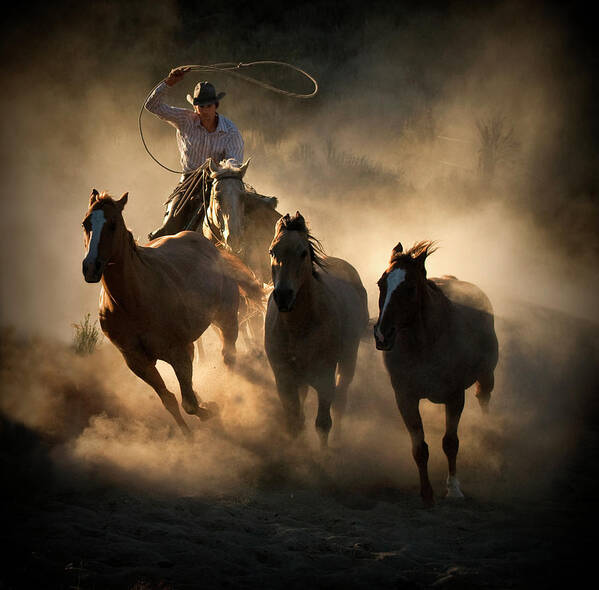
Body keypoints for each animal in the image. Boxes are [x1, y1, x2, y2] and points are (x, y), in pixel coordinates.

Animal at [81, 192, 264, 438]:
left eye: (113, 224)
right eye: (86, 223)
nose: (91, 266)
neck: (133, 300)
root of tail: (211, 248)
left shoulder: (178, 352)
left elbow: (189, 404)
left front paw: (212, 409)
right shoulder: (137, 361)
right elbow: (169, 400)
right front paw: (188, 435)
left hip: (226, 319)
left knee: (229, 356)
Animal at [264, 213, 368, 448]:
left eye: (303, 252)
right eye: (272, 251)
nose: (283, 295)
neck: (298, 327)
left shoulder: (324, 378)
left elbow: (323, 423)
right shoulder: (284, 380)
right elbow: (294, 421)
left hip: (348, 360)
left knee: (341, 401)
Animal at [376, 243, 496, 506]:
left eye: (410, 288)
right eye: (381, 284)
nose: (382, 334)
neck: (424, 344)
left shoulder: (455, 396)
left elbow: (450, 443)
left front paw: (454, 489)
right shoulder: (405, 398)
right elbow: (420, 448)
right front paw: (427, 494)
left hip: (486, 376)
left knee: (484, 399)